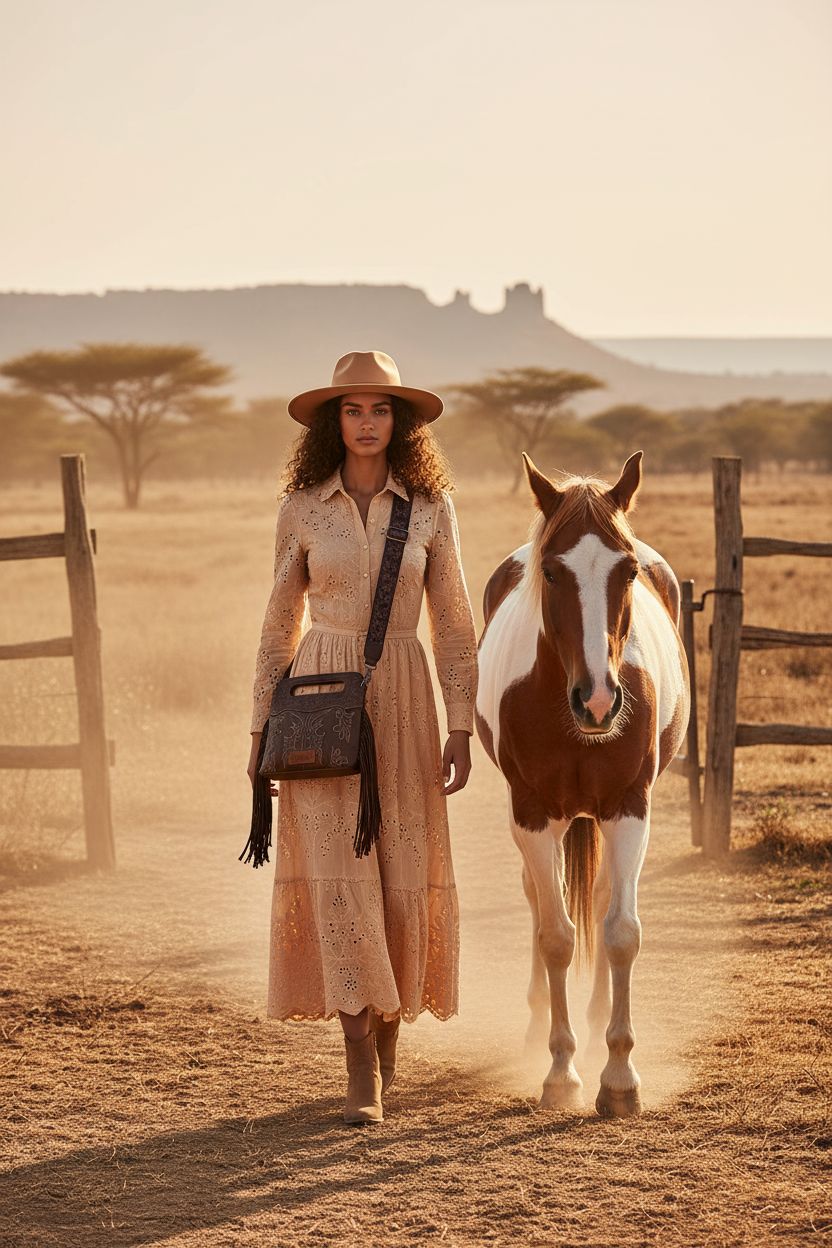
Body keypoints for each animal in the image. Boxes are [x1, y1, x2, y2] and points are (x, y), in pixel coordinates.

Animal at [475, 450, 689, 1117]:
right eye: (551, 571)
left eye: (627, 570)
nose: (598, 700)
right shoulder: (532, 813)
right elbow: (555, 936)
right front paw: (561, 1070)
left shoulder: (629, 808)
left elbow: (619, 933)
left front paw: (618, 1075)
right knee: (542, 901)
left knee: (597, 901)